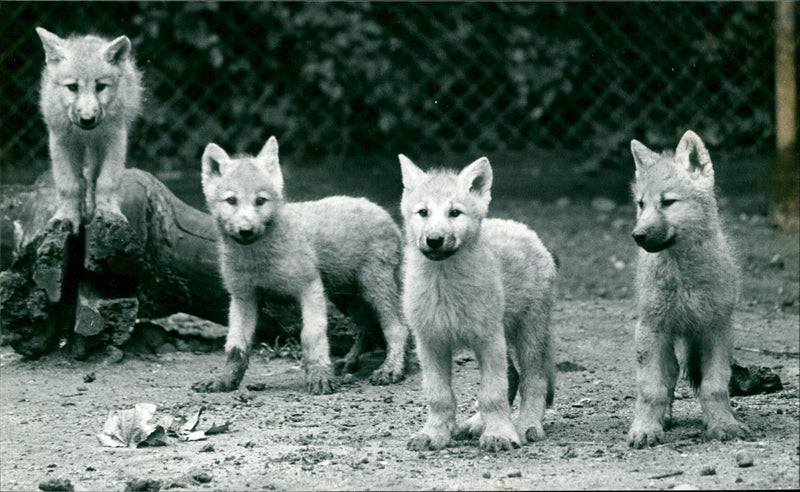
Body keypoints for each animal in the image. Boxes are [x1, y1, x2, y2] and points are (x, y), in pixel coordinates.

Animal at [36, 27, 143, 234]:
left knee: (92, 178)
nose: (87, 120)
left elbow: (107, 182)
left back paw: (94, 212)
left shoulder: (115, 140)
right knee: (82, 180)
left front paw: (109, 214)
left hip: (97, 148)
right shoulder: (61, 141)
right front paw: (66, 217)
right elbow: (68, 185)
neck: (86, 133)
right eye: (72, 87)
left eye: (100, 87)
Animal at [193, 136, 408, 394]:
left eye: (260, 201)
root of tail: (384, 213)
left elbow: (311, 336)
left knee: (397, 328)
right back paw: (350, 361)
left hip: (374, 289)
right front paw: (224, 380)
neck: (258, 260)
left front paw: (319, 377)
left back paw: (391, 368)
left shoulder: (310, 288)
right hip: (347, 298)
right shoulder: (243, 298)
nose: (246, 230)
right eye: (231, 201)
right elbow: (236, 347)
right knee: (367, 329)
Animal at [399, 155, 557, 452]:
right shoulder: (431, 343)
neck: (443, 286)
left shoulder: (488, 340)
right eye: (423, 212)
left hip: (528, 335)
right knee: (514, 377)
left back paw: (527, 425)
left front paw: (500, 435)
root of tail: (522, 227)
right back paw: (474, 424)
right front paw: (434, 434)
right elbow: (439, 396)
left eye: (455, 213)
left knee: (534, 380)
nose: (434, 240)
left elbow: (491, 393)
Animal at [627, 130, 750, 447]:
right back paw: (663, 418)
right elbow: (652, 389)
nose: (637, 236)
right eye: (641, 204)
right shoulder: (652, 329)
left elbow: (714, 387)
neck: (683, 276)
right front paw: (646, 428)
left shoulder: (715, 330)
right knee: (668, 377)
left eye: (668, 202)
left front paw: (723, 424)